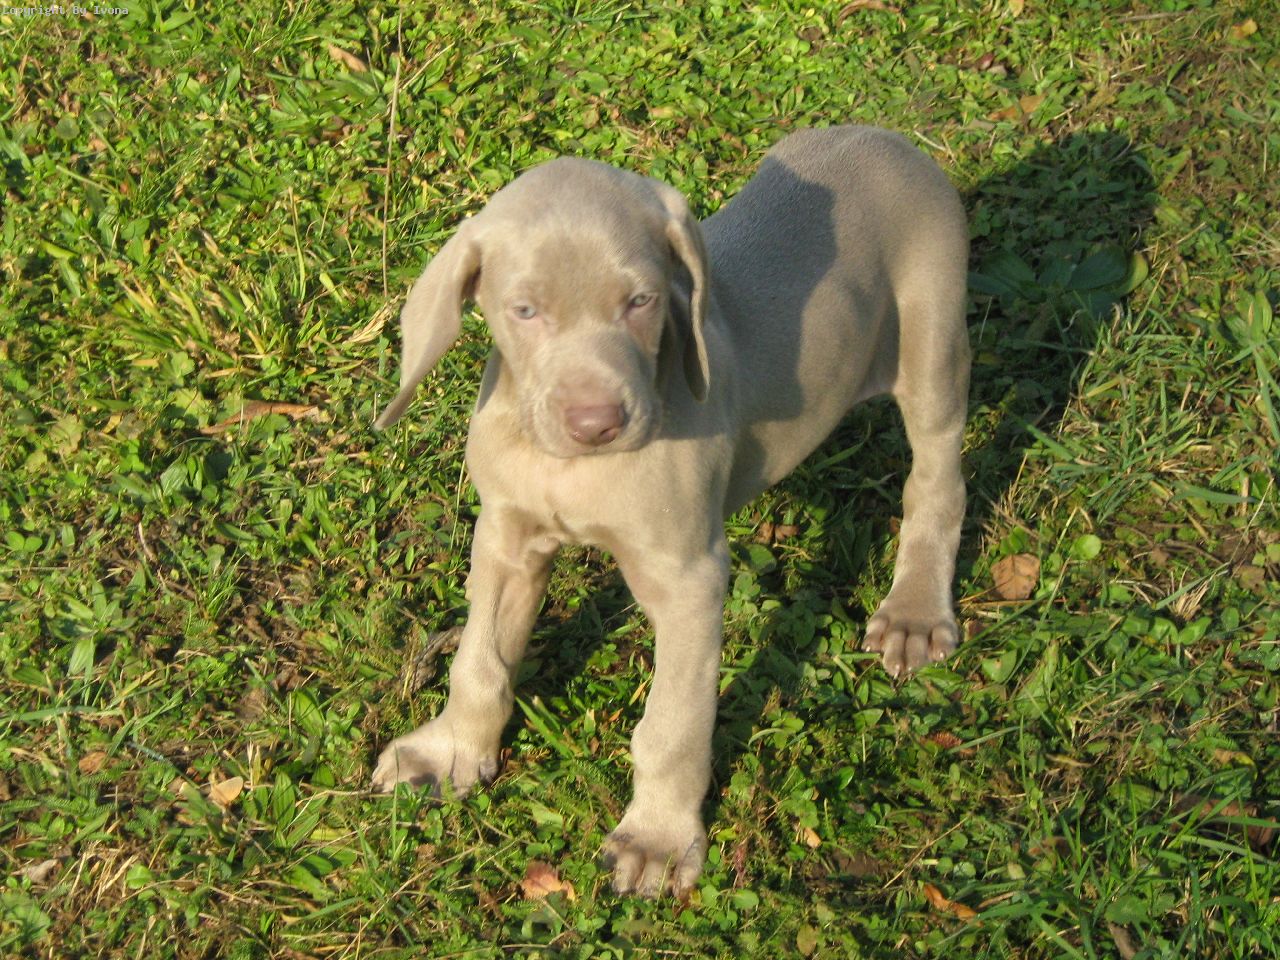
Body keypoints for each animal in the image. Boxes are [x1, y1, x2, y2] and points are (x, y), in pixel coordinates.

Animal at [370, 125, 970, 898]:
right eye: (524, 310)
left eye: (641, 301)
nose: (596, 422)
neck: (573, 469)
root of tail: (885, 136)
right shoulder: (505, 538)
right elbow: (480, 659)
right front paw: (448, 751)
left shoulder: (689, 579)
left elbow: (672, 724)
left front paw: (656, 837)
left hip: (933, 339)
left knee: (937, 481)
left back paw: (915, 614)